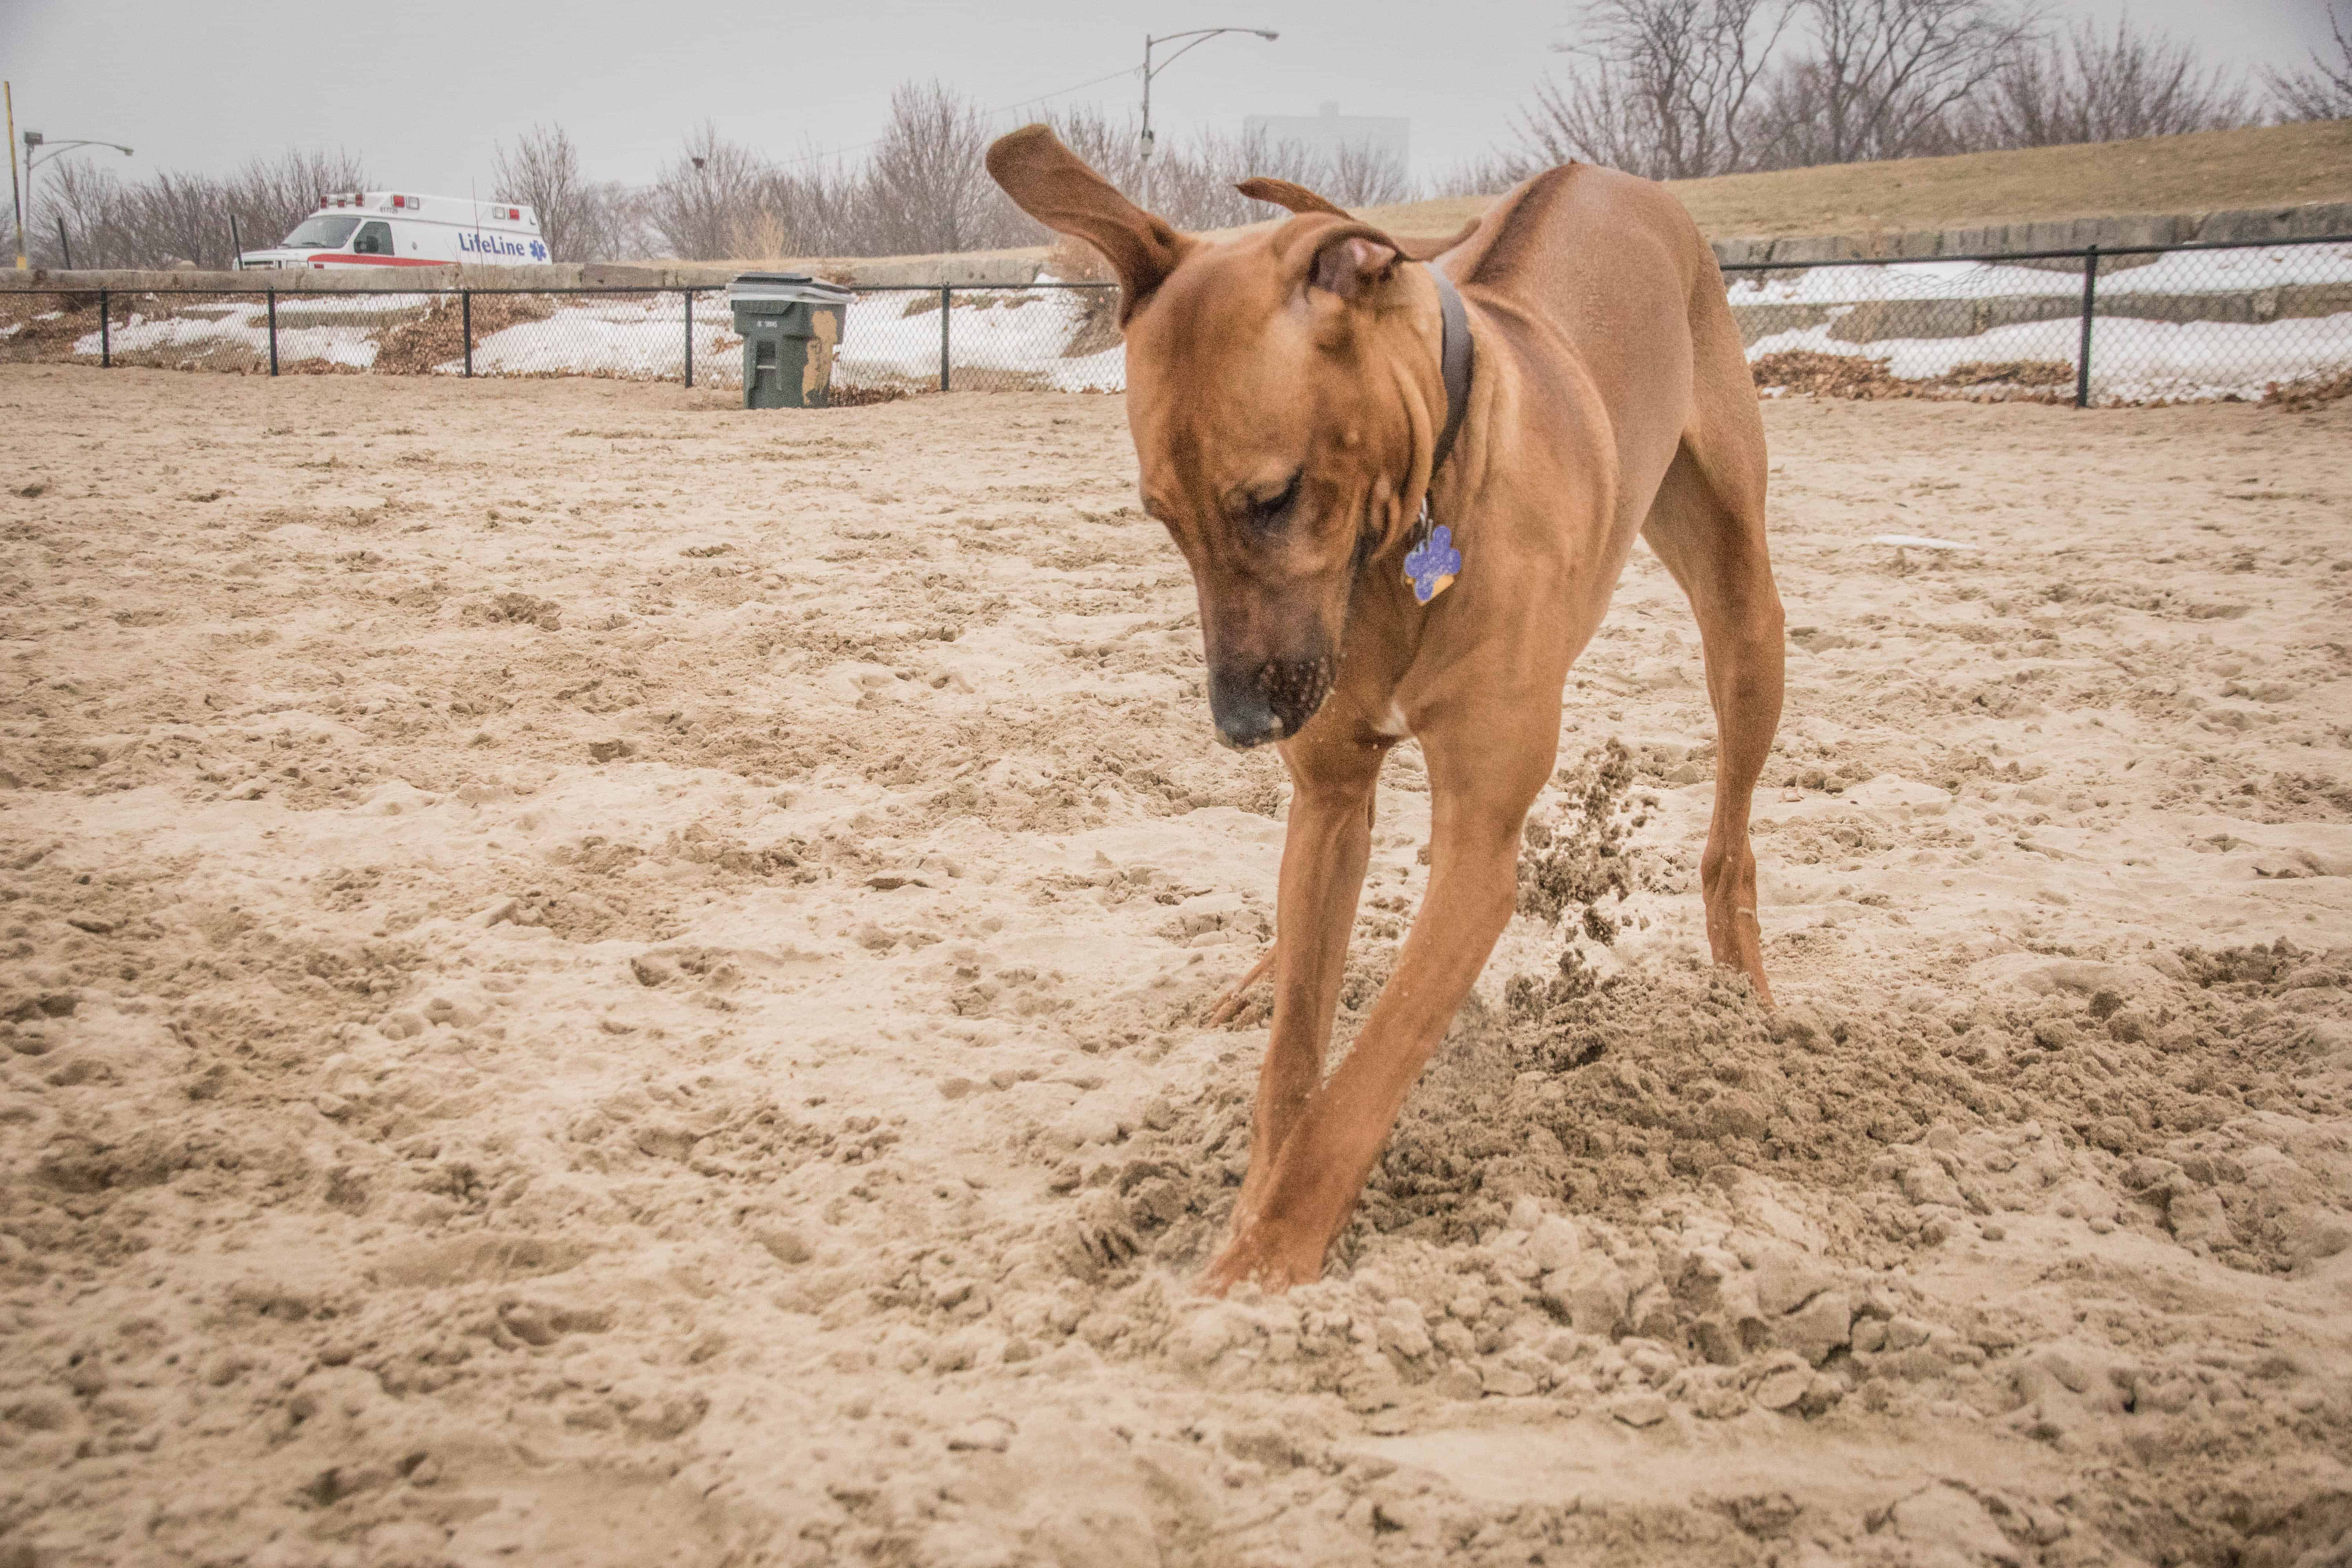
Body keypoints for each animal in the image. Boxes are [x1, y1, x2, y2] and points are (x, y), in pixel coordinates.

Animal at [993, 129, 1778, 1298]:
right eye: (1160, 517)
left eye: (1271, 500)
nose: (1240, 726)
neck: (1413, 522)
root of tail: (1605, 176)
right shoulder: (1327, 795)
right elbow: (1293, 1060)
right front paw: (1251, 1201)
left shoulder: (1482, 850)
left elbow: (1364, 1077)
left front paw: (1262, 1261)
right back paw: (1258, 975)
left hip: (1744, 603)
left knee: (1730, 830)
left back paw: (1745, 998)